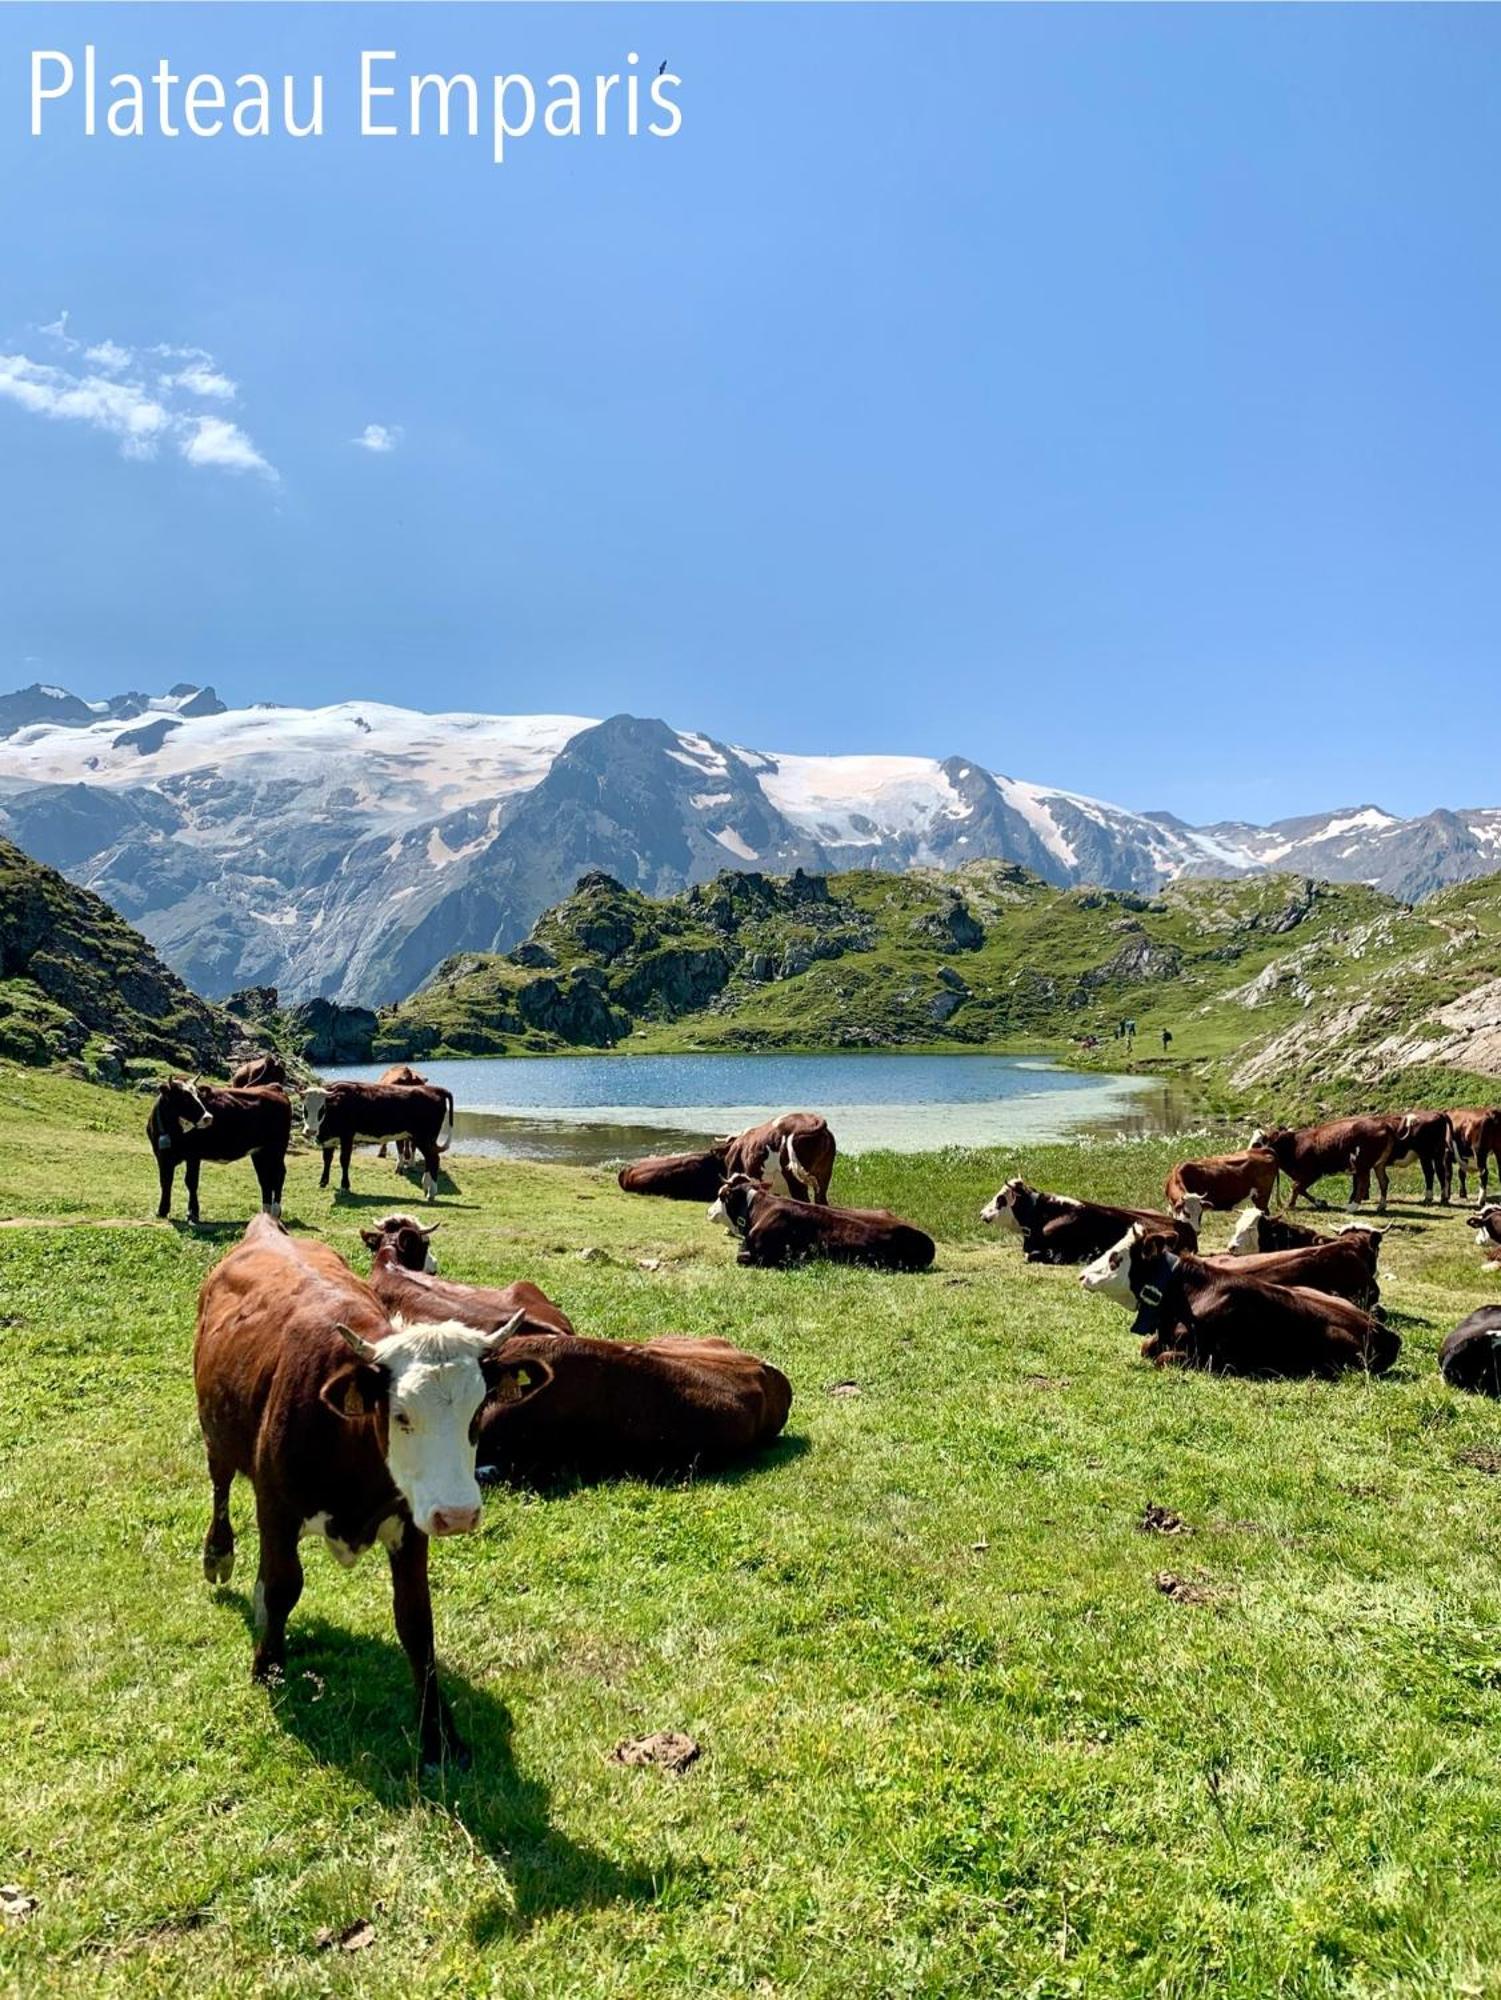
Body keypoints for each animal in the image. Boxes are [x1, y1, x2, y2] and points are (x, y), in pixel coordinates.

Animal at [192, 1216, 548, 1768]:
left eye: (479, 1411)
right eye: (400, 1415)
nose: (458, 1515)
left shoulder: (411, 1522)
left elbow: (416, 1621)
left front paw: (437, 1734)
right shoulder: (276, 1506)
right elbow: (284, 1585)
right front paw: (267, 1665)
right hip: (217, 1435)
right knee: (221, 1487)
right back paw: (219, 1554)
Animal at [1080, 1216, 1400, 1376]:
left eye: (1116, 1258)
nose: (1082, 1275)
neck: (1186, 1295)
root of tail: (1386, 1333)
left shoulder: (1211, 1358)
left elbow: (1162, 1358)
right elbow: (1146, 1347)